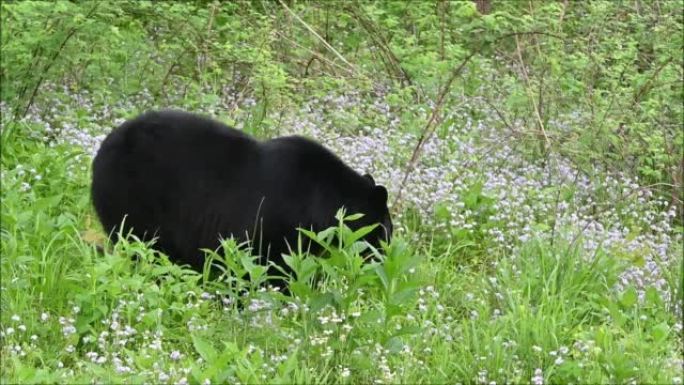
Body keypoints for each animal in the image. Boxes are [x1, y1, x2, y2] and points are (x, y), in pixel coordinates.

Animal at [92, 109, 390, 278]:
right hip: (135, 196)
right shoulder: (277, 221)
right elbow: (272, 264)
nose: (385, 257)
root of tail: (102, 149)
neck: (322, 199)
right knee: (142, 241)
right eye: (387, 230)